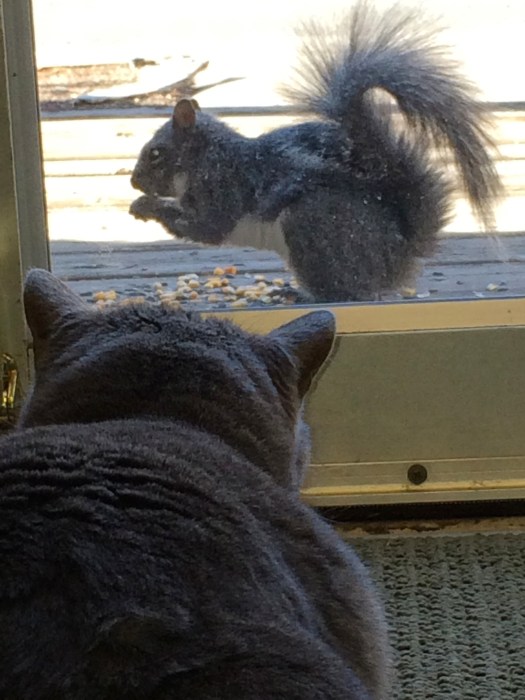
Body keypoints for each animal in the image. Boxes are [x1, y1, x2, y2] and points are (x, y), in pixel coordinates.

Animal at [129, 1, 502, 303]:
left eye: (155, 153)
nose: (134, 182)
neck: (203, 159)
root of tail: (398, 256)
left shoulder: (221, 186)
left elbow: (206, 227)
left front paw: (147, 206)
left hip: (310, 225)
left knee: (345, 291)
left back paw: (302, 294)